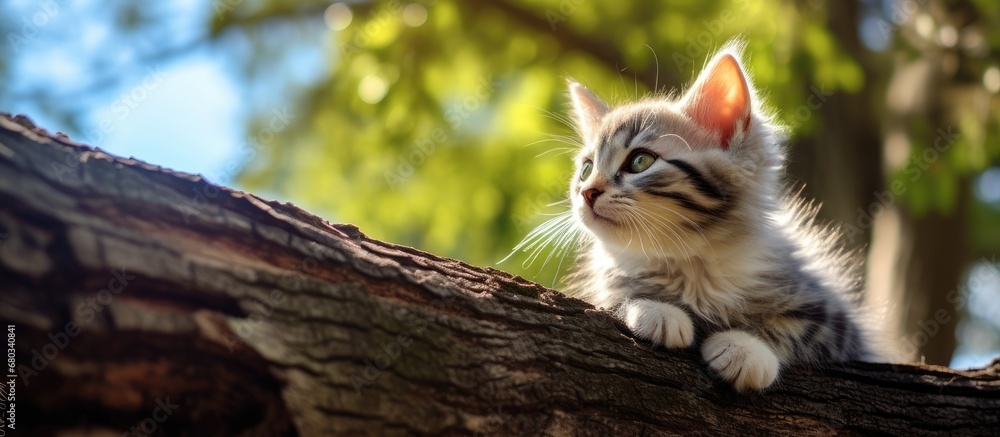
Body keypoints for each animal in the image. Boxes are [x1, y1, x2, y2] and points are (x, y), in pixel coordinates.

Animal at [556, 43, 876, 392]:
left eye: (640, 161)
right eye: (587, 169)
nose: (587, 192)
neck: (690, 261)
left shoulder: (837, 322)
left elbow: (791, 328)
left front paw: (746, 348)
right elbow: (616, 298)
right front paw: (655, 310)